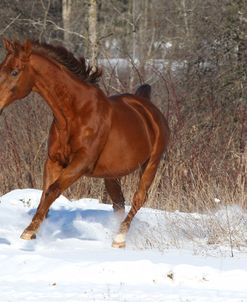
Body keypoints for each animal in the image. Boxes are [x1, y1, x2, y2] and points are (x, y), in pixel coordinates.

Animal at [0, 39, 170, 248]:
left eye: (15, 72)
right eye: (1, 68)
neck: (75, 113)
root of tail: (149, 109)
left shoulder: (81, 164)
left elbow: (53, 190)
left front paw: (29, 231)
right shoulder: (54, 161)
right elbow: (45, 193)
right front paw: (35, 230)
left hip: (151, 164)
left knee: (139, 198)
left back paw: (119, 238)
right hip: (112, 175)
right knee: (118, 202)